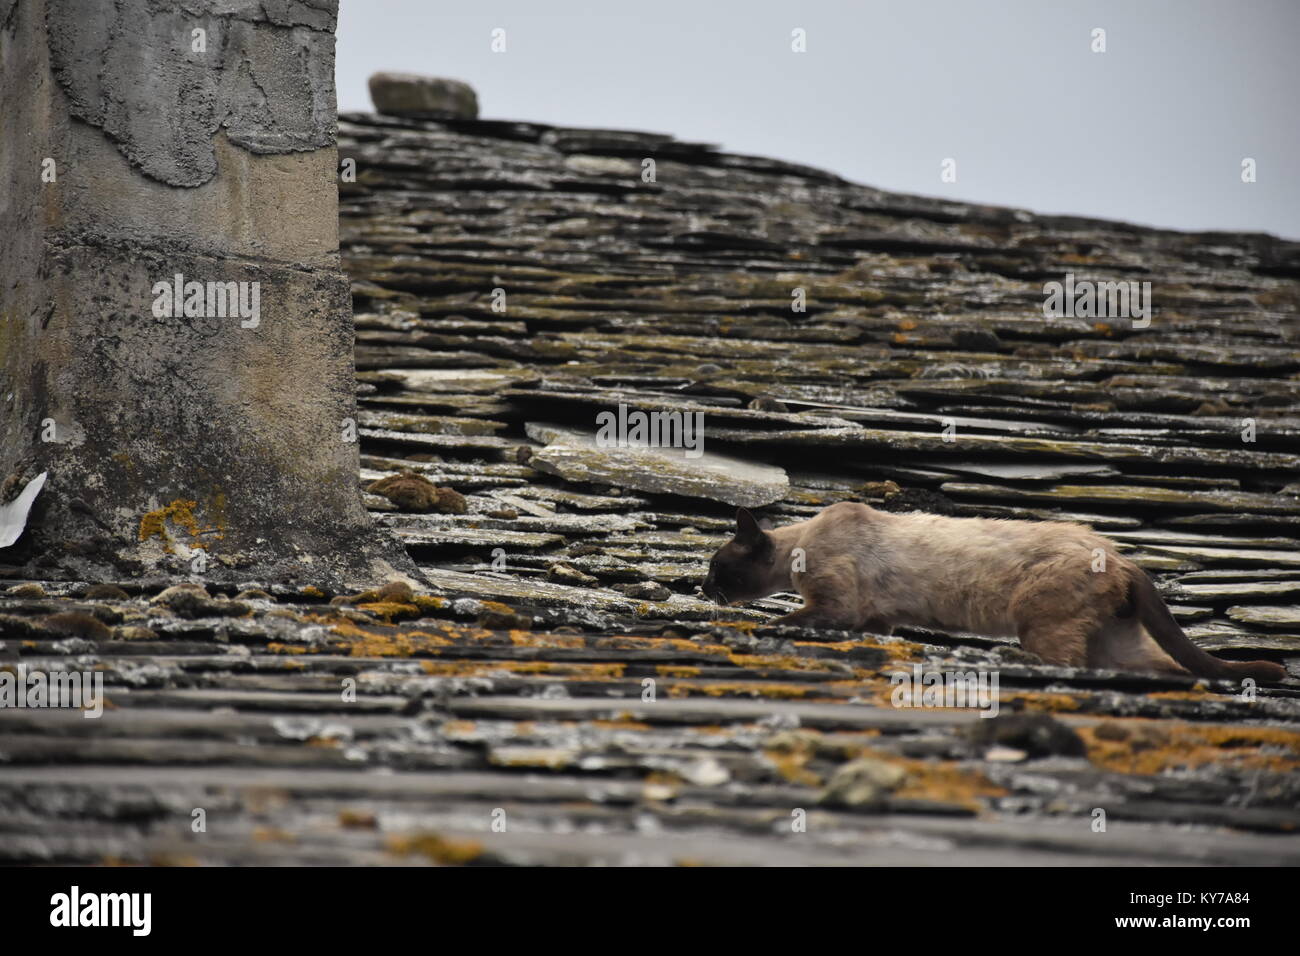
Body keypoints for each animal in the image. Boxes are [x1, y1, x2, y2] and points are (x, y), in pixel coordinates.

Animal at [702, 504, 1279, 686]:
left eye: (715, 568)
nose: (700, 587)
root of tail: (1122, 557)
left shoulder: (835, 606)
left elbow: (796, 618)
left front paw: (769, 625)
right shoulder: (876, 621)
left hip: (1036, 617)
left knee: (1065, 661)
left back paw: (1010, 659)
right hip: (1117, 642)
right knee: (1167, 667)